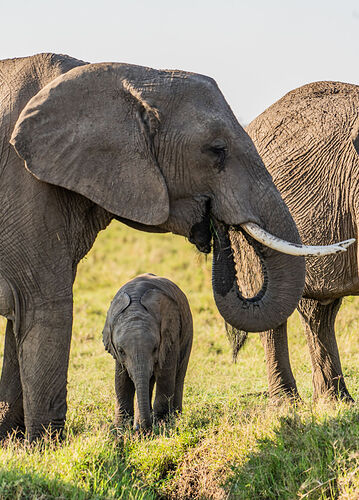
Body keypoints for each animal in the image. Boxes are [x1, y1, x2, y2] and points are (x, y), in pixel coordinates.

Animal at [102, 274, 194, 430]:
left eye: (155, 348)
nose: (141, 429)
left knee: (179, 374)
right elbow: (121, 380)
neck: (135, 307)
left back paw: (176, 417)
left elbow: (165, 375)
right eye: (121, 351)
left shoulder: (171, 334)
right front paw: (120, 429)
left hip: (188, 331)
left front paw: (162, 425)